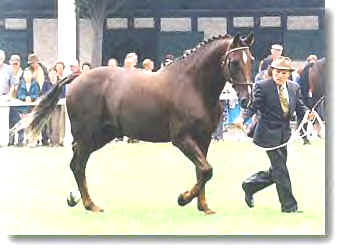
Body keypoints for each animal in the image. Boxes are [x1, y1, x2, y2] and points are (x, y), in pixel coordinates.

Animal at [11, 32, 255, 214]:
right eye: (234, 62)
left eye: (251, 60)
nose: (246, 99)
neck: (193, 86)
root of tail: (79, 77)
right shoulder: (182, 139)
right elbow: (206, 170)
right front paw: (183, 198)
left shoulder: (203, 139)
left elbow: (202, 171)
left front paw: (203, 207)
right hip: (88, 135)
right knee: (78, 165)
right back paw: (90, 205)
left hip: (101, 136)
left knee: (77, 162)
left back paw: (76, 198)